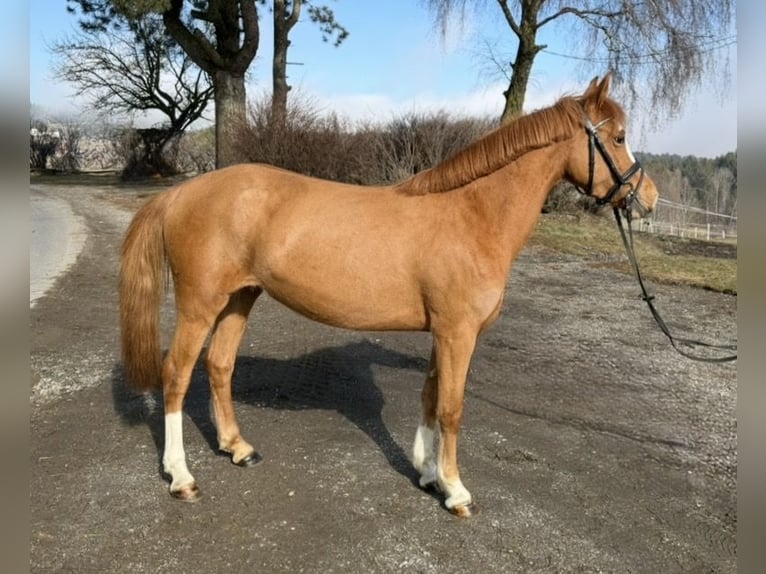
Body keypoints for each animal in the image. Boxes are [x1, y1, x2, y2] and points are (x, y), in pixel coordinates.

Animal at [119, 74, 659, 517]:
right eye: (618, 137)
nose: (647, 198)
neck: (472, 215)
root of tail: (182, 193)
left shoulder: (445, 333)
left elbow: (429, 397)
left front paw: (427, 474)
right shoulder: (459, 334)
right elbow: (452, 408)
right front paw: (456, 491)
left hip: (240, 298)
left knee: (220, 366)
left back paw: (238, 448)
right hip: (200, 306)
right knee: (176, 374)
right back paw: (181, 477)